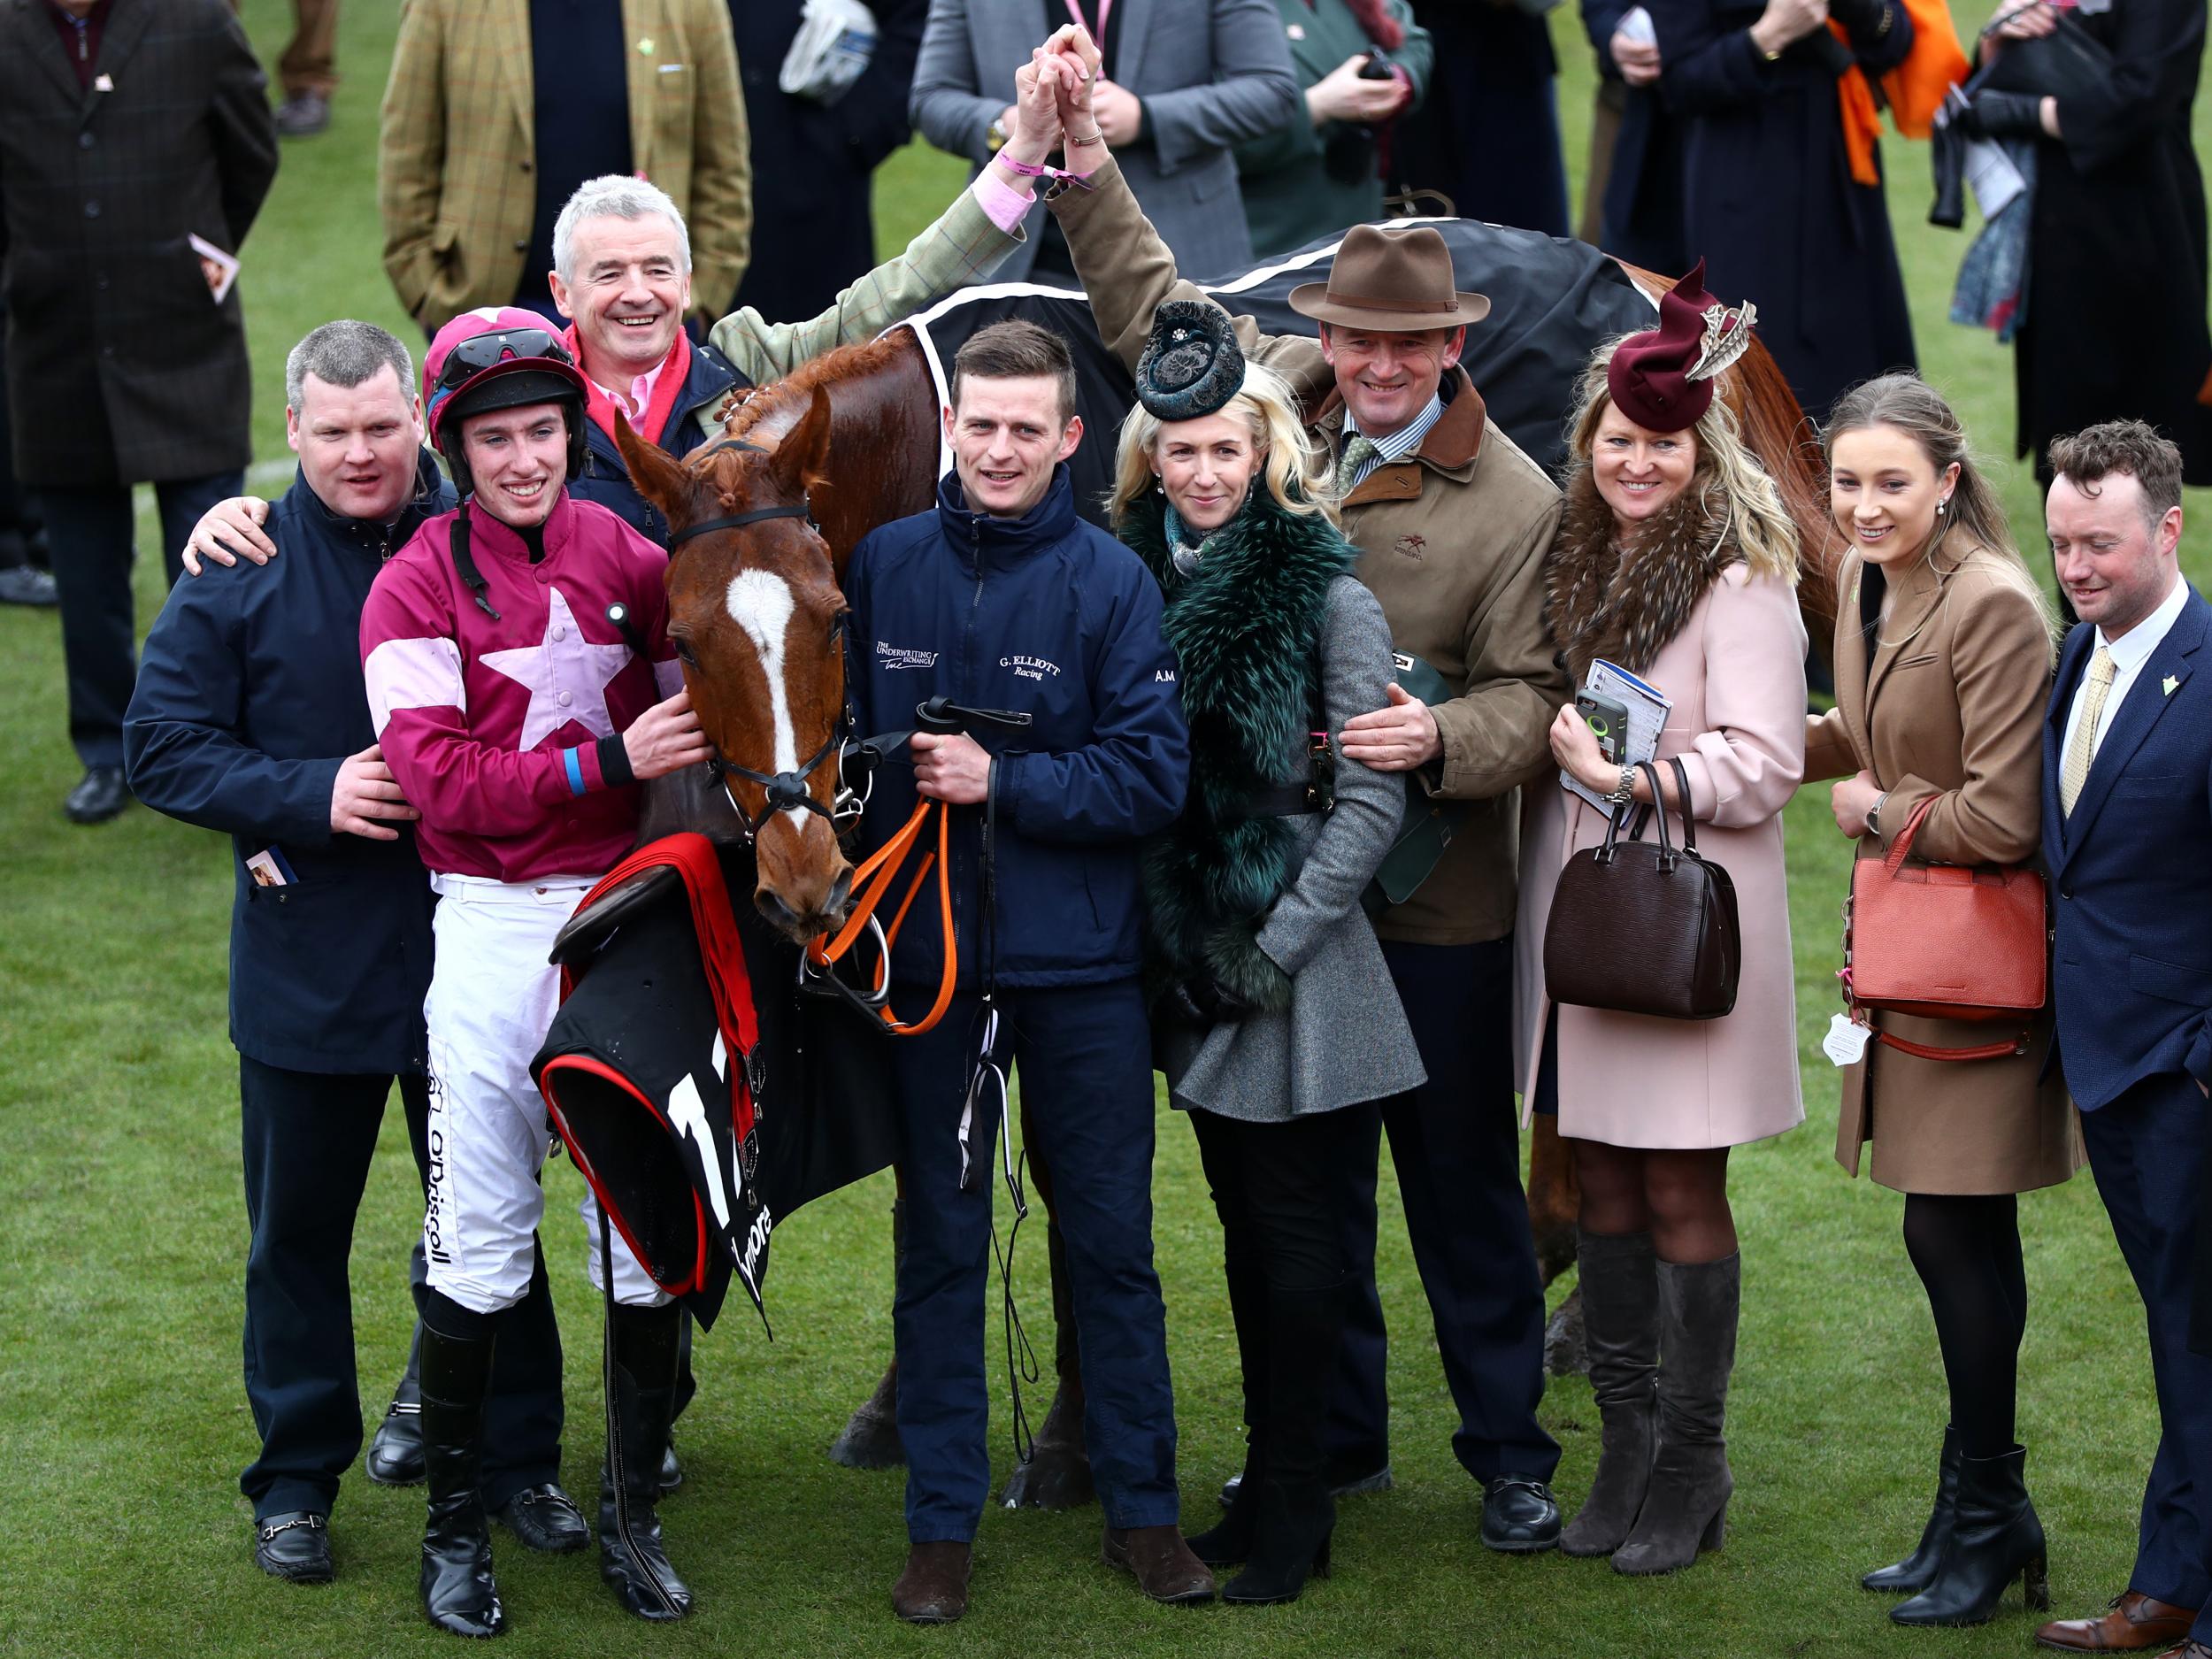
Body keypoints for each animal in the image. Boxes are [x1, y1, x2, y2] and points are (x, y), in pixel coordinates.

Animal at [637, 263, 1832, 1504]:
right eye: (681, 633)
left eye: (831, 621)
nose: (798, 870)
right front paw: (905, 1408)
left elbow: (1073, 1171)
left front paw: (1068, 1437)